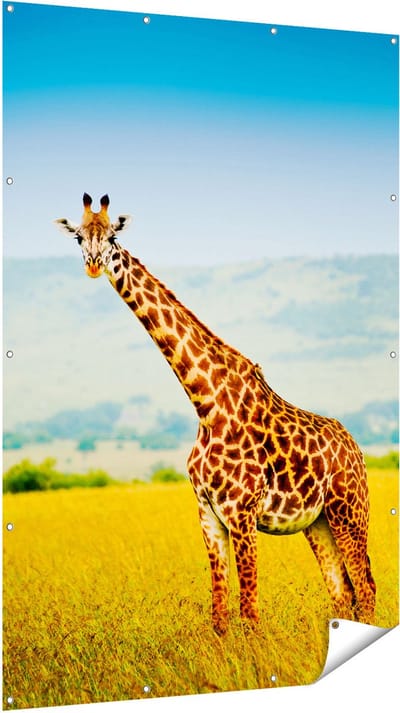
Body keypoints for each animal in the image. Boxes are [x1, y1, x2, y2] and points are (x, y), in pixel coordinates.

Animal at [55, 194, 376, 635]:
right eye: (79, 237)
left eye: (113, 236)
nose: (92, 264)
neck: (205, 403)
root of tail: (356, 448)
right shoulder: (207, 514)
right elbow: (220, 613)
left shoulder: (241, 512)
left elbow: (250, 611)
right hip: (318, 522)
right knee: (343, 593)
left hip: (349, 511)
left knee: (366, 588)